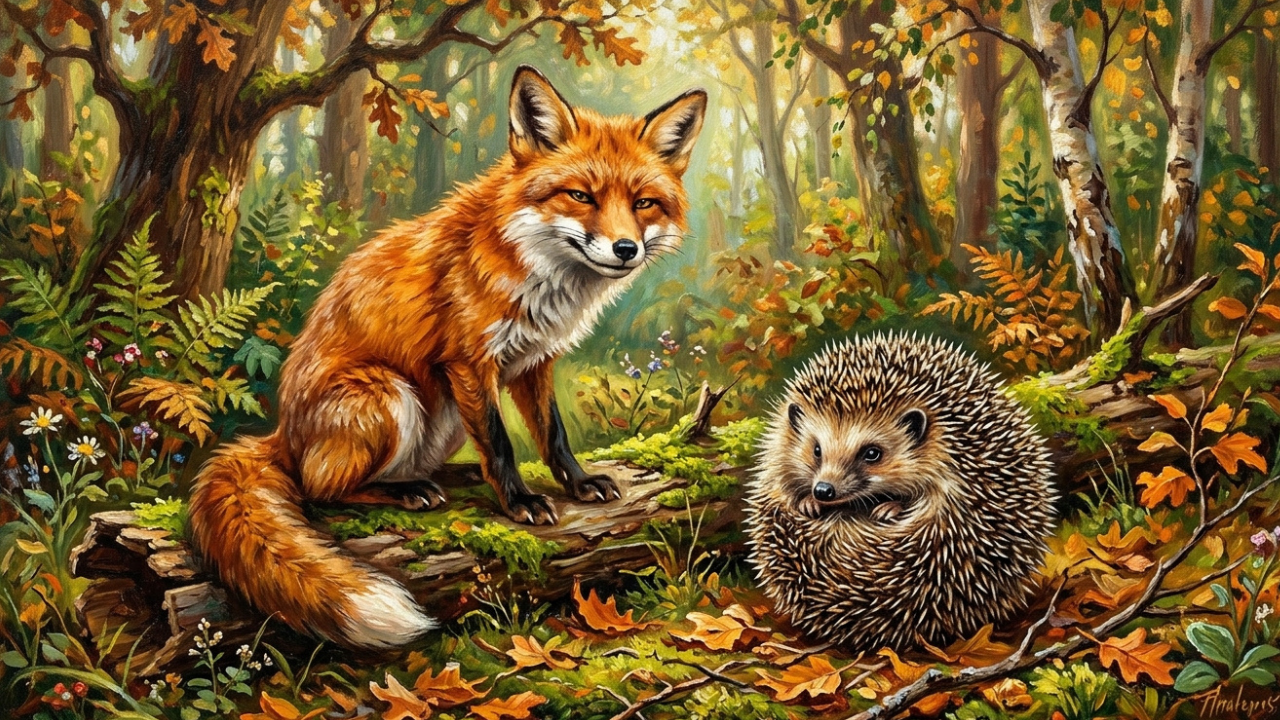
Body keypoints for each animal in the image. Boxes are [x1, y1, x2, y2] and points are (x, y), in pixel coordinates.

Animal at [187, 67, 706, 649]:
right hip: (390, 396)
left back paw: (447, 478)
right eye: (580, 196)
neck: (538, 274)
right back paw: (405, 491)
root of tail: (281, 434)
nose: (625, 249)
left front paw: (577, 482)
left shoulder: (535, 361)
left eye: (643, 203)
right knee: (321, 489)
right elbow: (501, 443)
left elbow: (552, 434)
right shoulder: (469, 362)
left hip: (444, 417)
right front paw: (520, 502)